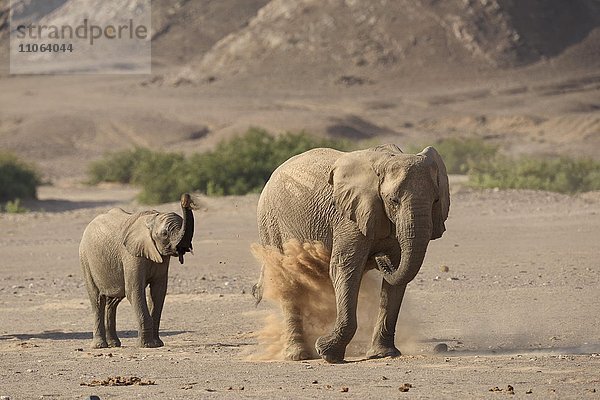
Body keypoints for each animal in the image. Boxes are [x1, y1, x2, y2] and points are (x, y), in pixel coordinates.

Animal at [79, 193, 195, 346]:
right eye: (164, 233)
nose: (185, 198)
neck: (152, 218)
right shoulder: (131, 254)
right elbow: (135, 291)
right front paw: (147, 346)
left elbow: (158, 292)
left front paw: (157, 344)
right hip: (85, 259)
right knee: (97, 300)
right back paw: (100, 346)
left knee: (113, 302)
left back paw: (114, 344)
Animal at [253, 144, 450, 362]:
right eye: (394, 201)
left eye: (436, 200)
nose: (380, 259)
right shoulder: (348, 219)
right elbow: (345, 268)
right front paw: (327, 352)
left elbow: (397, 277)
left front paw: (383, 354)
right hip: (270, 222)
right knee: (286, 280)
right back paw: (299, 355)